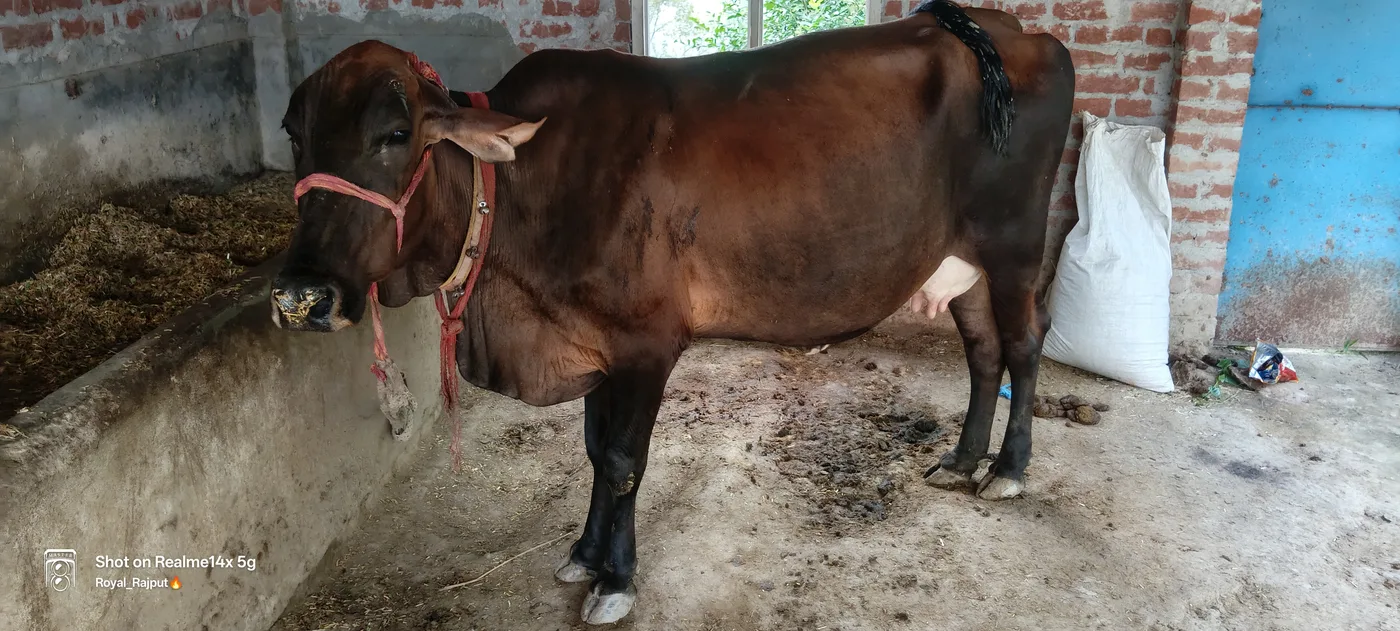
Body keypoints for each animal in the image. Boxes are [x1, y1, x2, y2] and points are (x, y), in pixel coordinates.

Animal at [269, 0, 1074, 624]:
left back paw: (1008, 468)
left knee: (1024, 344)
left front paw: (616, 579)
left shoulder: (646, 343)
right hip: (965, 266)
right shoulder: (591, 344)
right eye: (294, 134)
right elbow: (594, 451)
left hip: (1013, 244)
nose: (299, 295)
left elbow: (625, 462)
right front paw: (583, 554)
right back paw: (962, 459)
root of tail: (1002, 28)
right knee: (983, 350)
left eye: (394, 134)